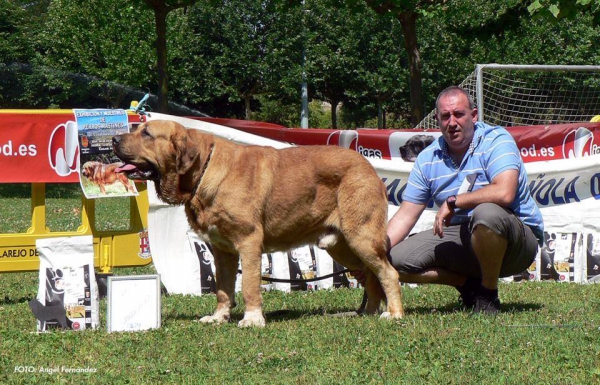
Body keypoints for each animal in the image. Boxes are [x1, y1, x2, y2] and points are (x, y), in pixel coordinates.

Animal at [112, 121, 404, 328]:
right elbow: (223, 288)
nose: (113, 139)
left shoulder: (249, 242)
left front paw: (252, 319)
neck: (204, 171)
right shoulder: (223, 251)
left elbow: (250, 284)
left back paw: (394, 314)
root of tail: (368, 167)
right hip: (342, 247)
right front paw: (219, 317)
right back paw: (367, 312)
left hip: (361, 237)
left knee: (388, 273)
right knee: (371, 275)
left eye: (147, 134)